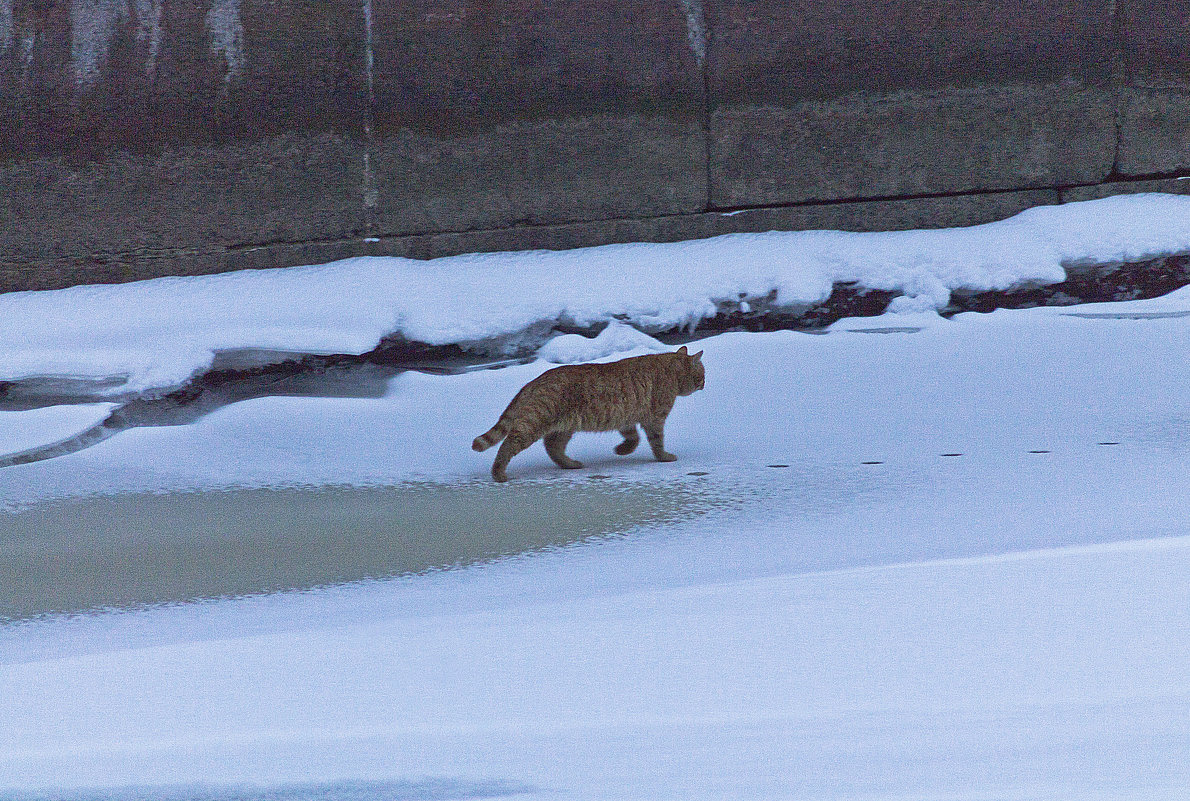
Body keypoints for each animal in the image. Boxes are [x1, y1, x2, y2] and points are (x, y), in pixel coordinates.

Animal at [468, 345, 699, 480]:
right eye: (701, 375)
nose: (704, 383)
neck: (670, 367)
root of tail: (533, 382)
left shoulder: (626, 417)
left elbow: (633, 438)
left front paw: (622, 450)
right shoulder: (655, 418)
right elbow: (656, 441)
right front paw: (664, 457)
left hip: (563, 428)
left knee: (552, 447)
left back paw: (570, 464)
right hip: (534, 423)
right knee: (509, 444)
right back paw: (498, 473)